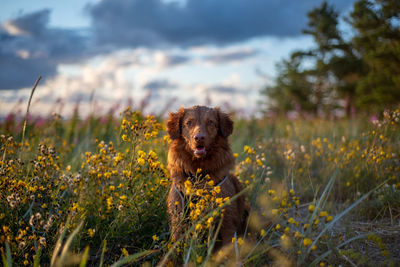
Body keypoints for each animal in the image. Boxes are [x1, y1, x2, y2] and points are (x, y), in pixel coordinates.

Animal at [165, 105, 247, 248]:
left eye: (211, 122)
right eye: (189, 123)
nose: (199, 137)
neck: (199, 172)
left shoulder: (227, 222)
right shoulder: (177, 219)